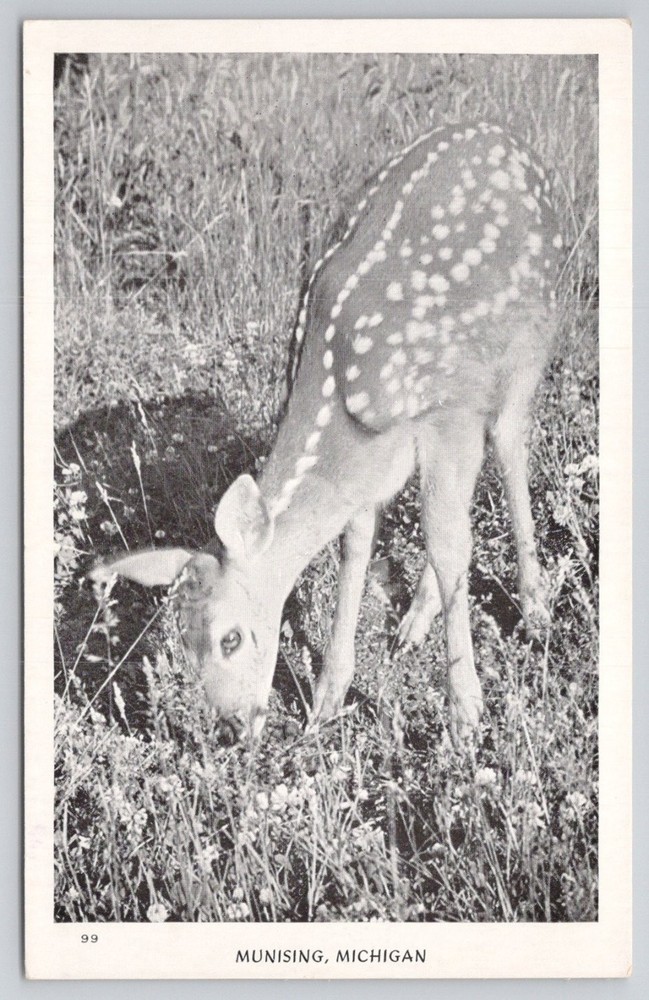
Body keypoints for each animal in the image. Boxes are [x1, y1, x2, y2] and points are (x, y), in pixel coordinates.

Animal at [90, 122, 562, 745]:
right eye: (181, 642)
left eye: (230, 637)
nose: (229, 729)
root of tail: (506, 135)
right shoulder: (370, 464)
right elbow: (356, 549)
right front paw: (327, 699)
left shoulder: (449, 413)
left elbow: (445, 543)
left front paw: (464, 712)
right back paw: (414, 622)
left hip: (529, 342)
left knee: (509, 452)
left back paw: (535, 611)